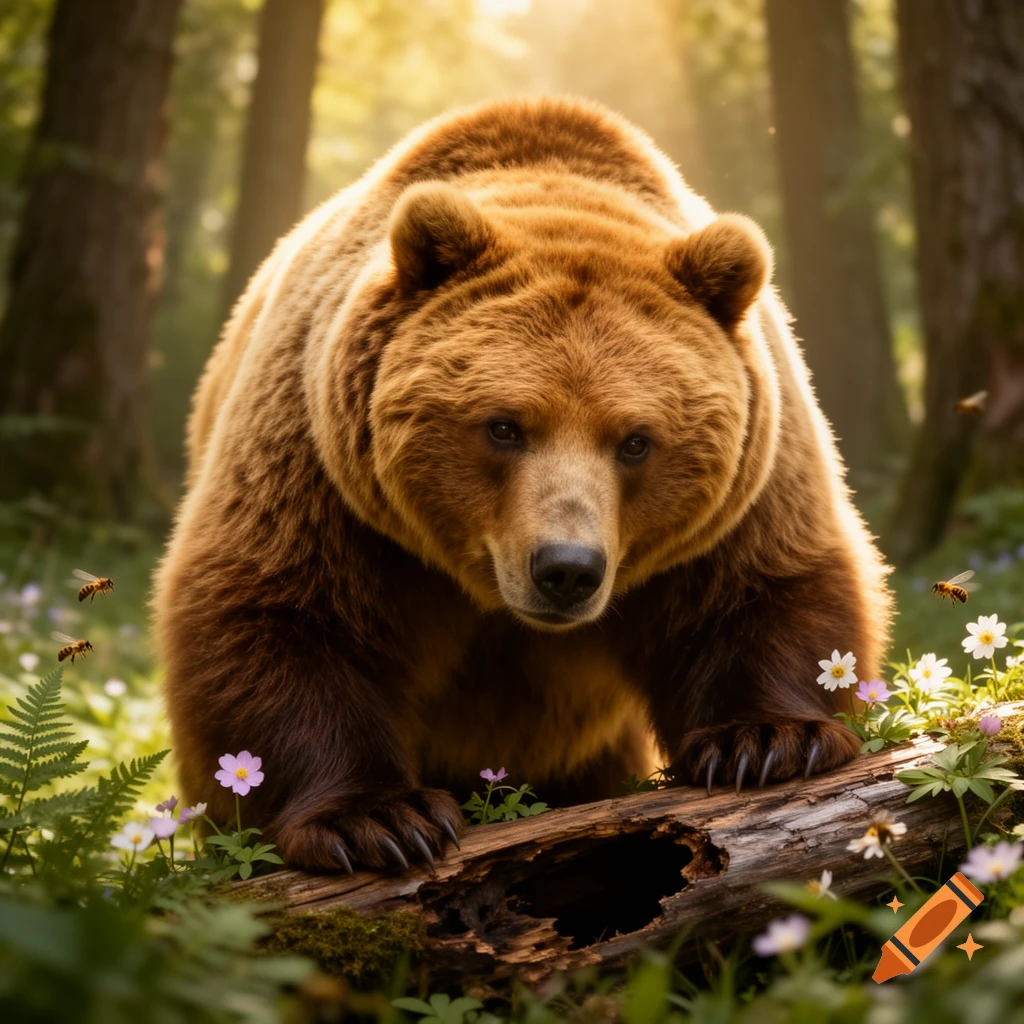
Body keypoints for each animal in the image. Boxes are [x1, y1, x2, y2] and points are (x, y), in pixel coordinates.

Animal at [154, 96, 891, 873]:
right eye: (505, 426)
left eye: (635, 441)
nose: (566, 569)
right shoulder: (321, 470)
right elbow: (277, 611)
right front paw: (378, 819)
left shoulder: (750, 479)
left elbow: (763, 587)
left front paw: (768, 741)